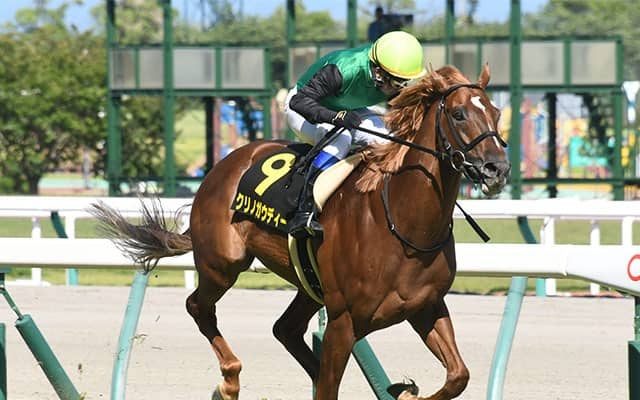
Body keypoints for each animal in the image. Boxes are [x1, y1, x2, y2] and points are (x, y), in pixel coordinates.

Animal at [90, 63, 510, 400]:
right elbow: (328, 388)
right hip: (222, 263)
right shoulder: (343, 321)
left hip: (308, 284)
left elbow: (458, 375)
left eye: (495, 111)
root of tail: (224, 164)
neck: (404, 225)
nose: (497, 168)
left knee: (285, 329)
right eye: (458, 114)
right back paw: (229, 380)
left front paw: (405, 392)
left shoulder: (425, 306)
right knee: (199, 306)